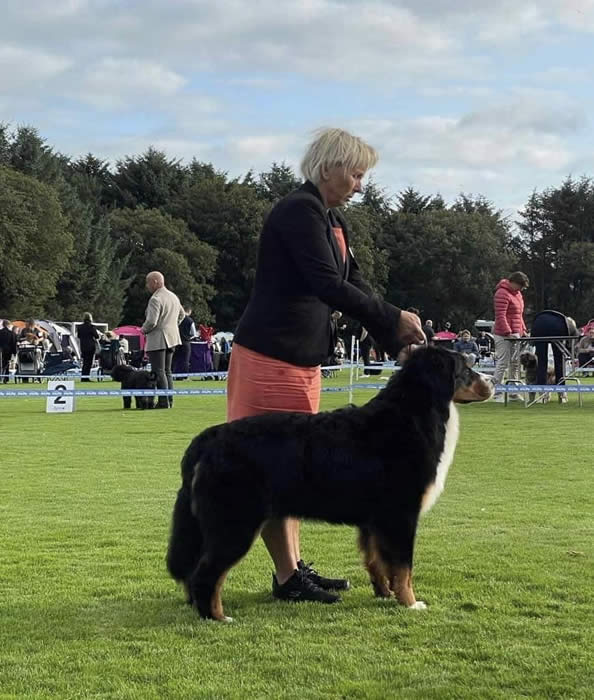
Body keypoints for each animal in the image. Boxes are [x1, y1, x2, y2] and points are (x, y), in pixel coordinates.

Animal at [165, 348, 490, 620]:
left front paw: (384, 594)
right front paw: (410, 603)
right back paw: (216, 617)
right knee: (206, 574)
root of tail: (209, 438)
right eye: (466, 368)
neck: (411, 414)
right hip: (235, 524)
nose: (491, 381)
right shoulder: (401, 516)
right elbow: (403, 567)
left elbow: (377, 562)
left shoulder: (375, 521)